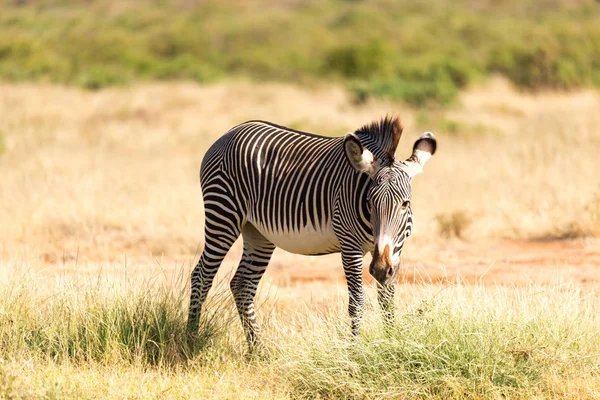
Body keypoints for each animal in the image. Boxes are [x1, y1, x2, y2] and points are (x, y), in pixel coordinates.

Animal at [190, 116, 438, 346]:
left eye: (405, 204)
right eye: (370, 202)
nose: (379, 269)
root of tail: (231, 131)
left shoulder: (394, 250)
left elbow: (387, 300)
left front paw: (390, 342)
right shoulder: (350, 245)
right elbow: (357, 302)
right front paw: (355, 353)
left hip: (258, 232)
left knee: (242, 285)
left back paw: (258, 351)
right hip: (222, 215)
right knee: (201, 276)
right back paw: (190, 340)